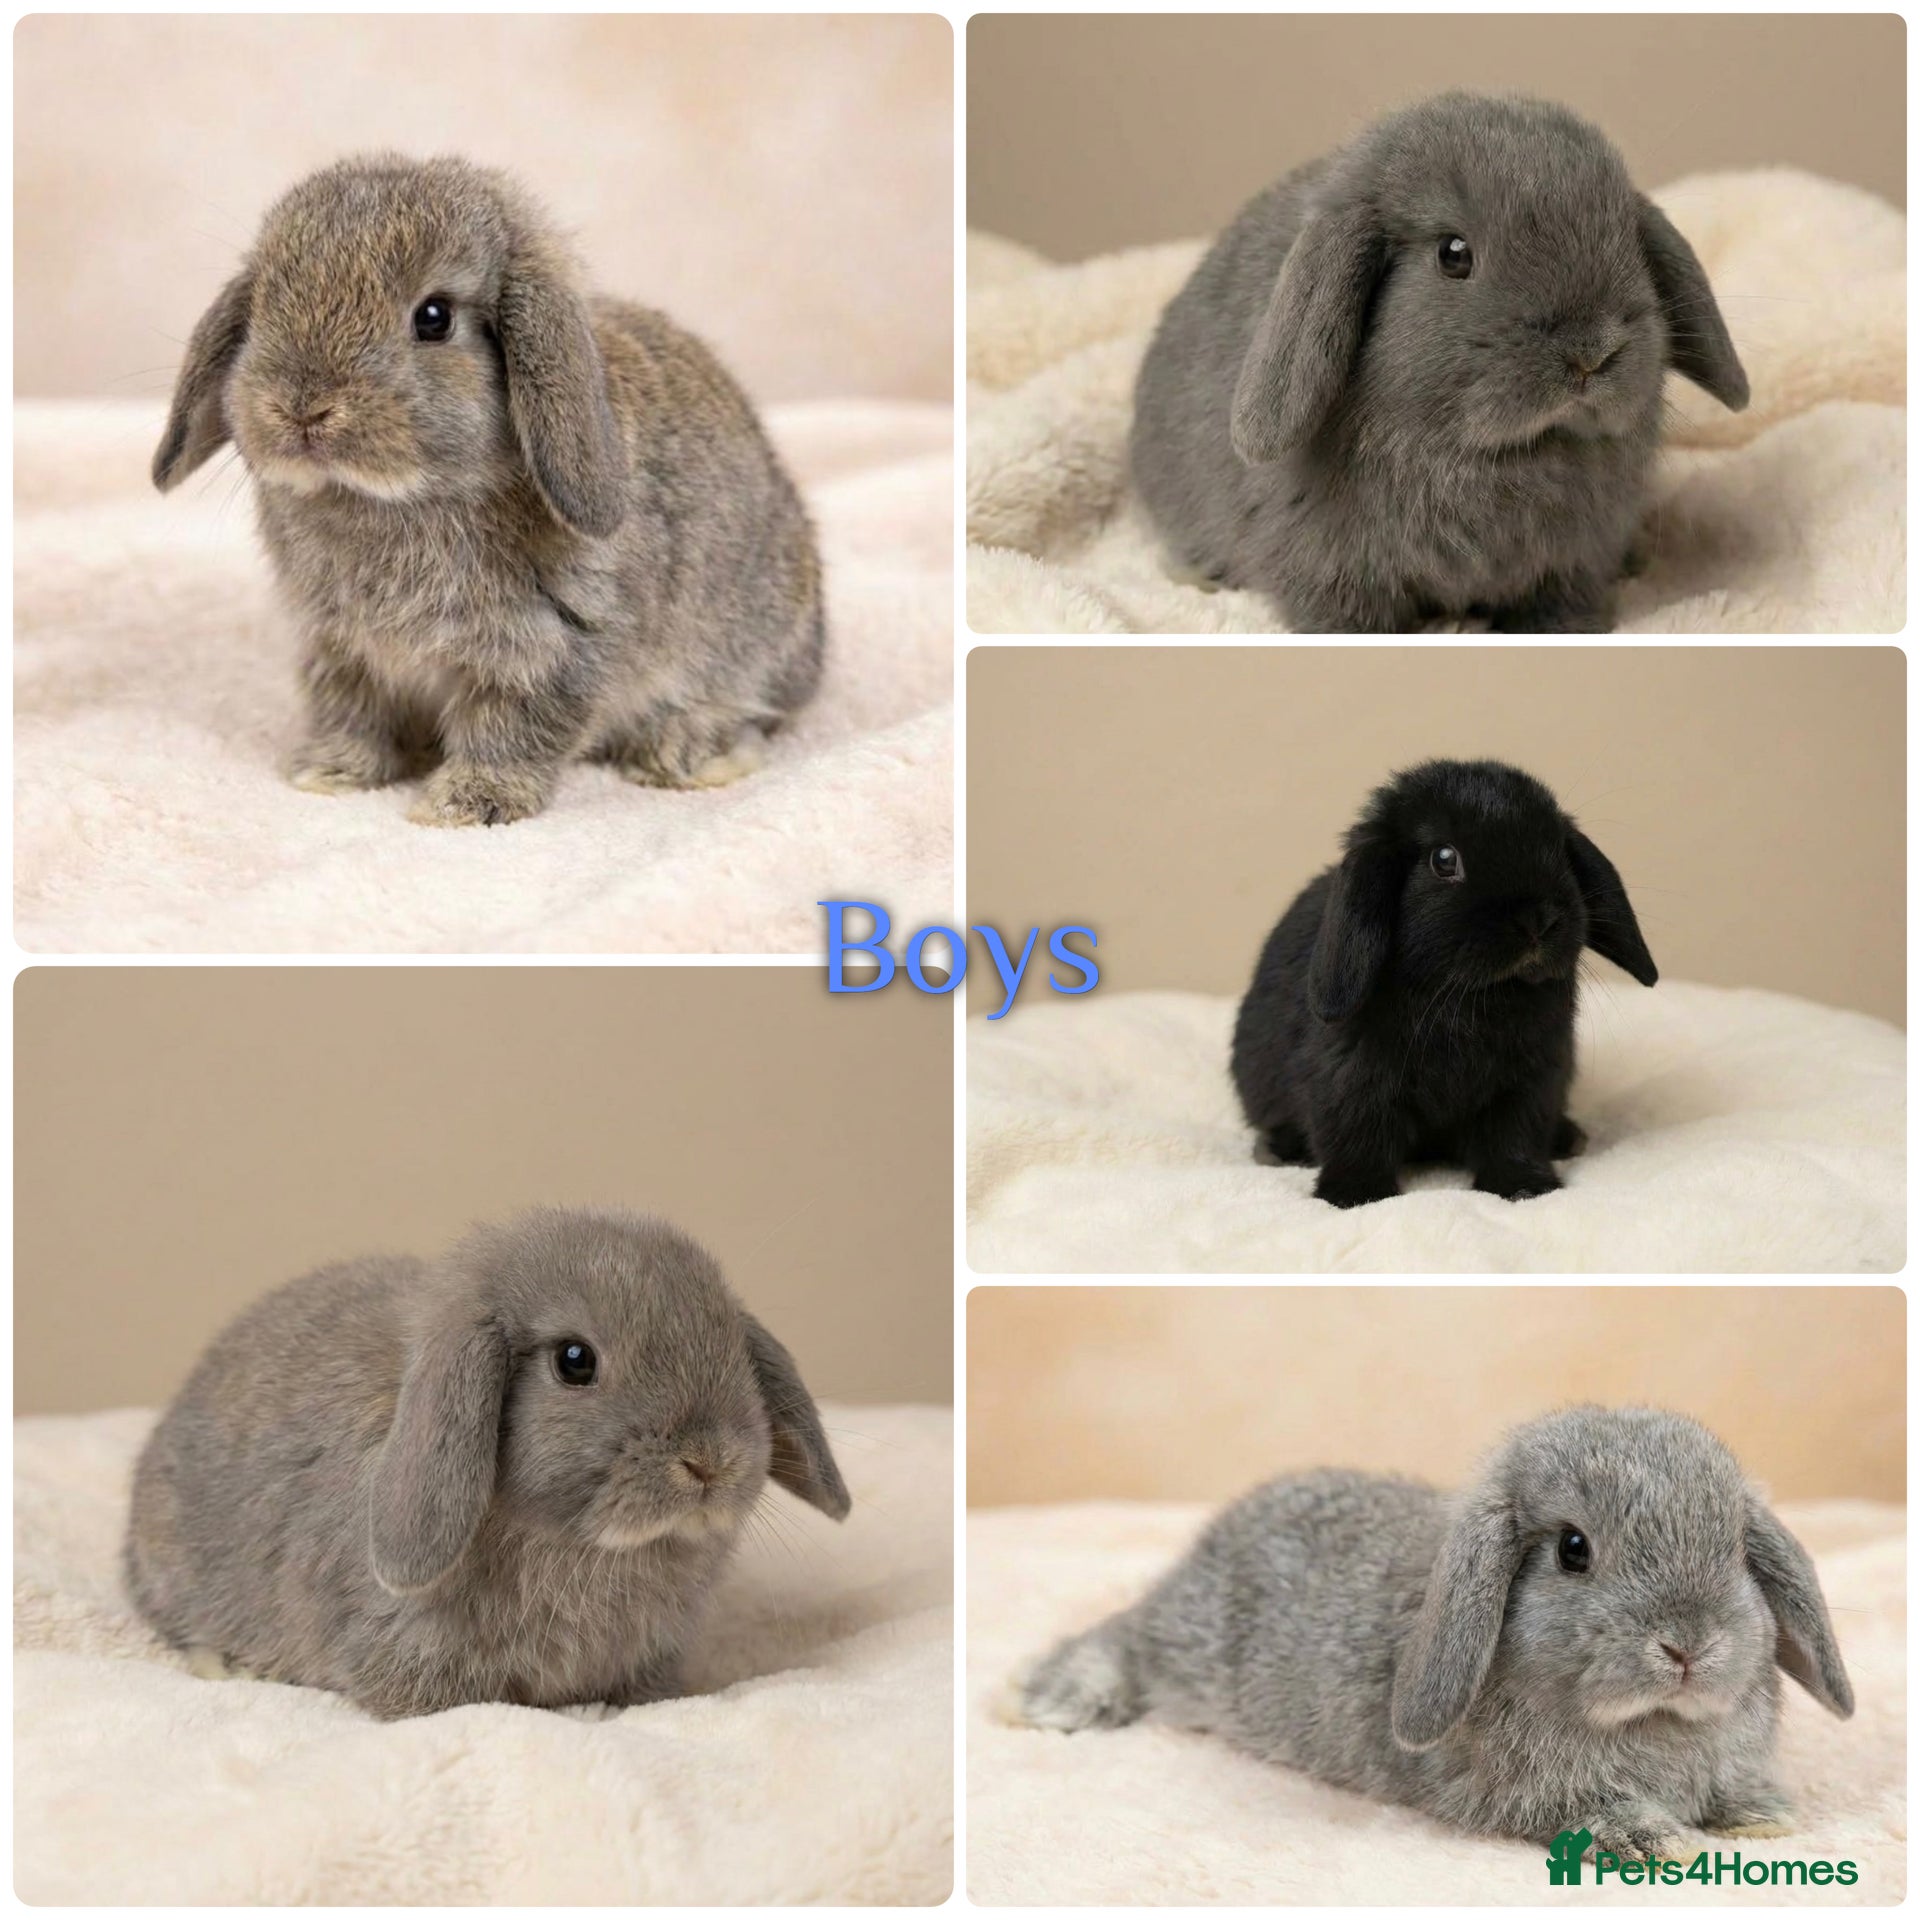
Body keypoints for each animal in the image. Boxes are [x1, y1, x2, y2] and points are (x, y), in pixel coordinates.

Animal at [153, 154, 824, 826]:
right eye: (265, 303)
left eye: (434, 318)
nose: (302, 409)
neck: (392, 500)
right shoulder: (343, 651)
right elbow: (353, 717)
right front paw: (329, 773)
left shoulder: (551, 649)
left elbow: (513, 730)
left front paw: (464, 804)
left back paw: (683, 753)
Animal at [1021, 1406, 1854, 1859]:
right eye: (1573, 1549)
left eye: (1735, 1549)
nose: (1689, 1645)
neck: (1653, 1723)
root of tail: (1219, 1532)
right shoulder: (1519, 1796)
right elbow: (1591, 1810)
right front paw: (1659, 1842)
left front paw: (1764, 1818)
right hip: (1188, 1647)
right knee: (1123, 1639)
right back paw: (1050, 1701)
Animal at [1131, 92, 1750, 633]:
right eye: (1453, 254)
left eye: (1626, 238)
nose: (1592, 351)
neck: (1501, 457)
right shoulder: (1330, 573)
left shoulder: (1574, 562)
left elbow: (1560, 609)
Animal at [1230, 758, 1657, 1208]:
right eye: (1444, 859)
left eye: (1557, 847)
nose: (1538, 920)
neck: (1472, 995)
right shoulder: (1350, 1077)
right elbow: (1357, 1136)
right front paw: (1354, 1196)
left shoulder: (1530, 1080)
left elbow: (1515, 1135)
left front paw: (1525, 1187)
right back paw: (1276, 1149)